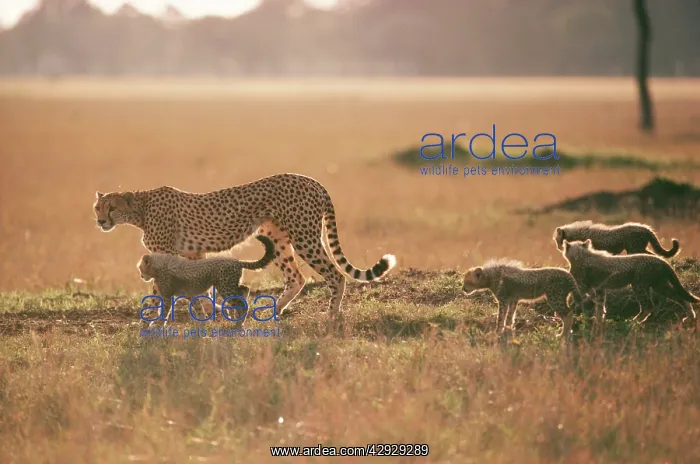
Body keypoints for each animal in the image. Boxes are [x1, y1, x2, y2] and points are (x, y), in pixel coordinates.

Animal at [137, 234, 276, 327]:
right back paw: (237, 319)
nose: (141, 276)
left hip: (225, 286)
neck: (160, 266)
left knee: (240, 302)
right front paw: (203, 323)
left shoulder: (168, 296)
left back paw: (238, 324)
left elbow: (164, 311)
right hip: (229, 285)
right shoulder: (189, 293)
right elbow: (198, 307)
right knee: (244, 290)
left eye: (140, 268)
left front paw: (157, 326)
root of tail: (236, 261)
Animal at [561, 239, 698, 330]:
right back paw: (690, 317)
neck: (581, 255)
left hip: (639, 285)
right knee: (681, 297)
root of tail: (661, 260)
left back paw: (633, 321)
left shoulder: (582, 287)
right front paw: (598, 321)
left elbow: (576, 302)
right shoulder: (599, 288)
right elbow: (600, 305)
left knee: (648, 306)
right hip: (659, 285)